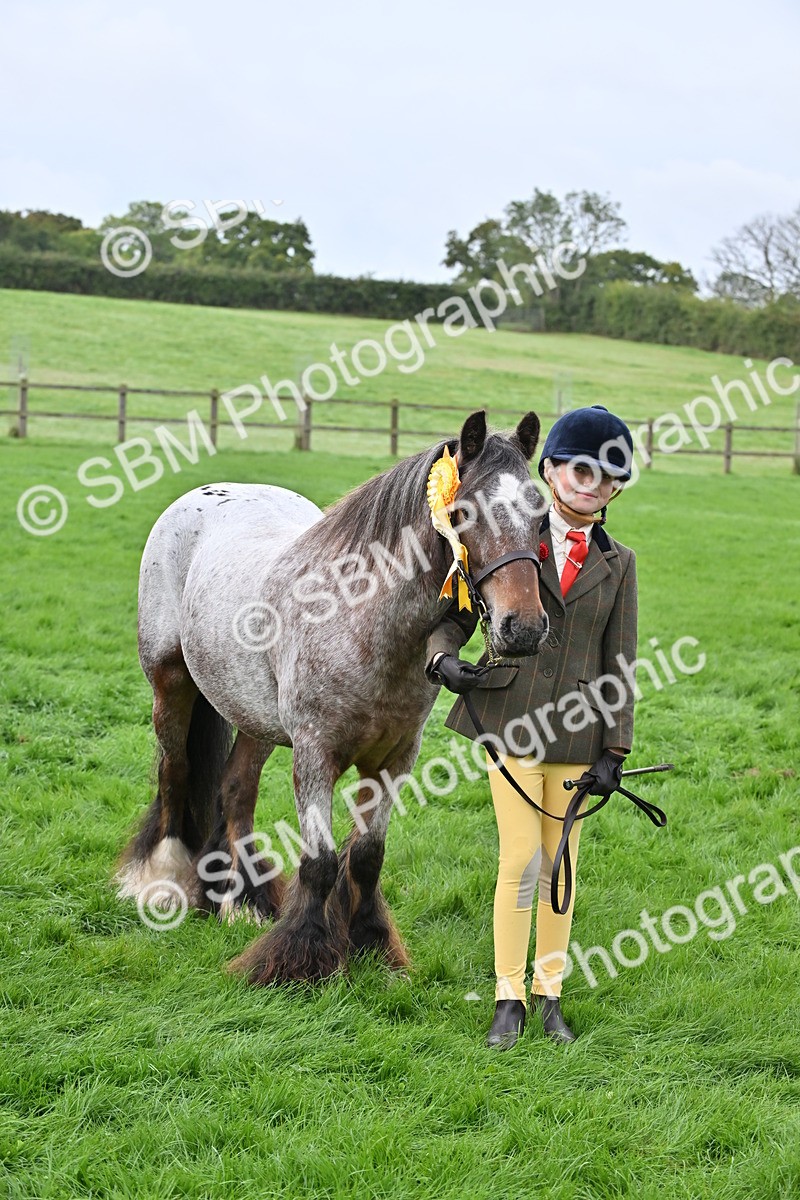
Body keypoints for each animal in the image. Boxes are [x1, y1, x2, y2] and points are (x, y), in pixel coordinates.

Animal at [116, 409, 549, 984]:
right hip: (170, 686)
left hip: (255, 717)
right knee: (175, 772)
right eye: (461, 514)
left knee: (235, 790)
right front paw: (299, 961)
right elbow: (320, 863)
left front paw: (370, 945)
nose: (523, 628)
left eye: (542, 516)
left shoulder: (394, 759)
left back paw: (243, 902)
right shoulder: (314, 755)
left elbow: (366, 855)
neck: (361, 620)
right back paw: (162, 885)